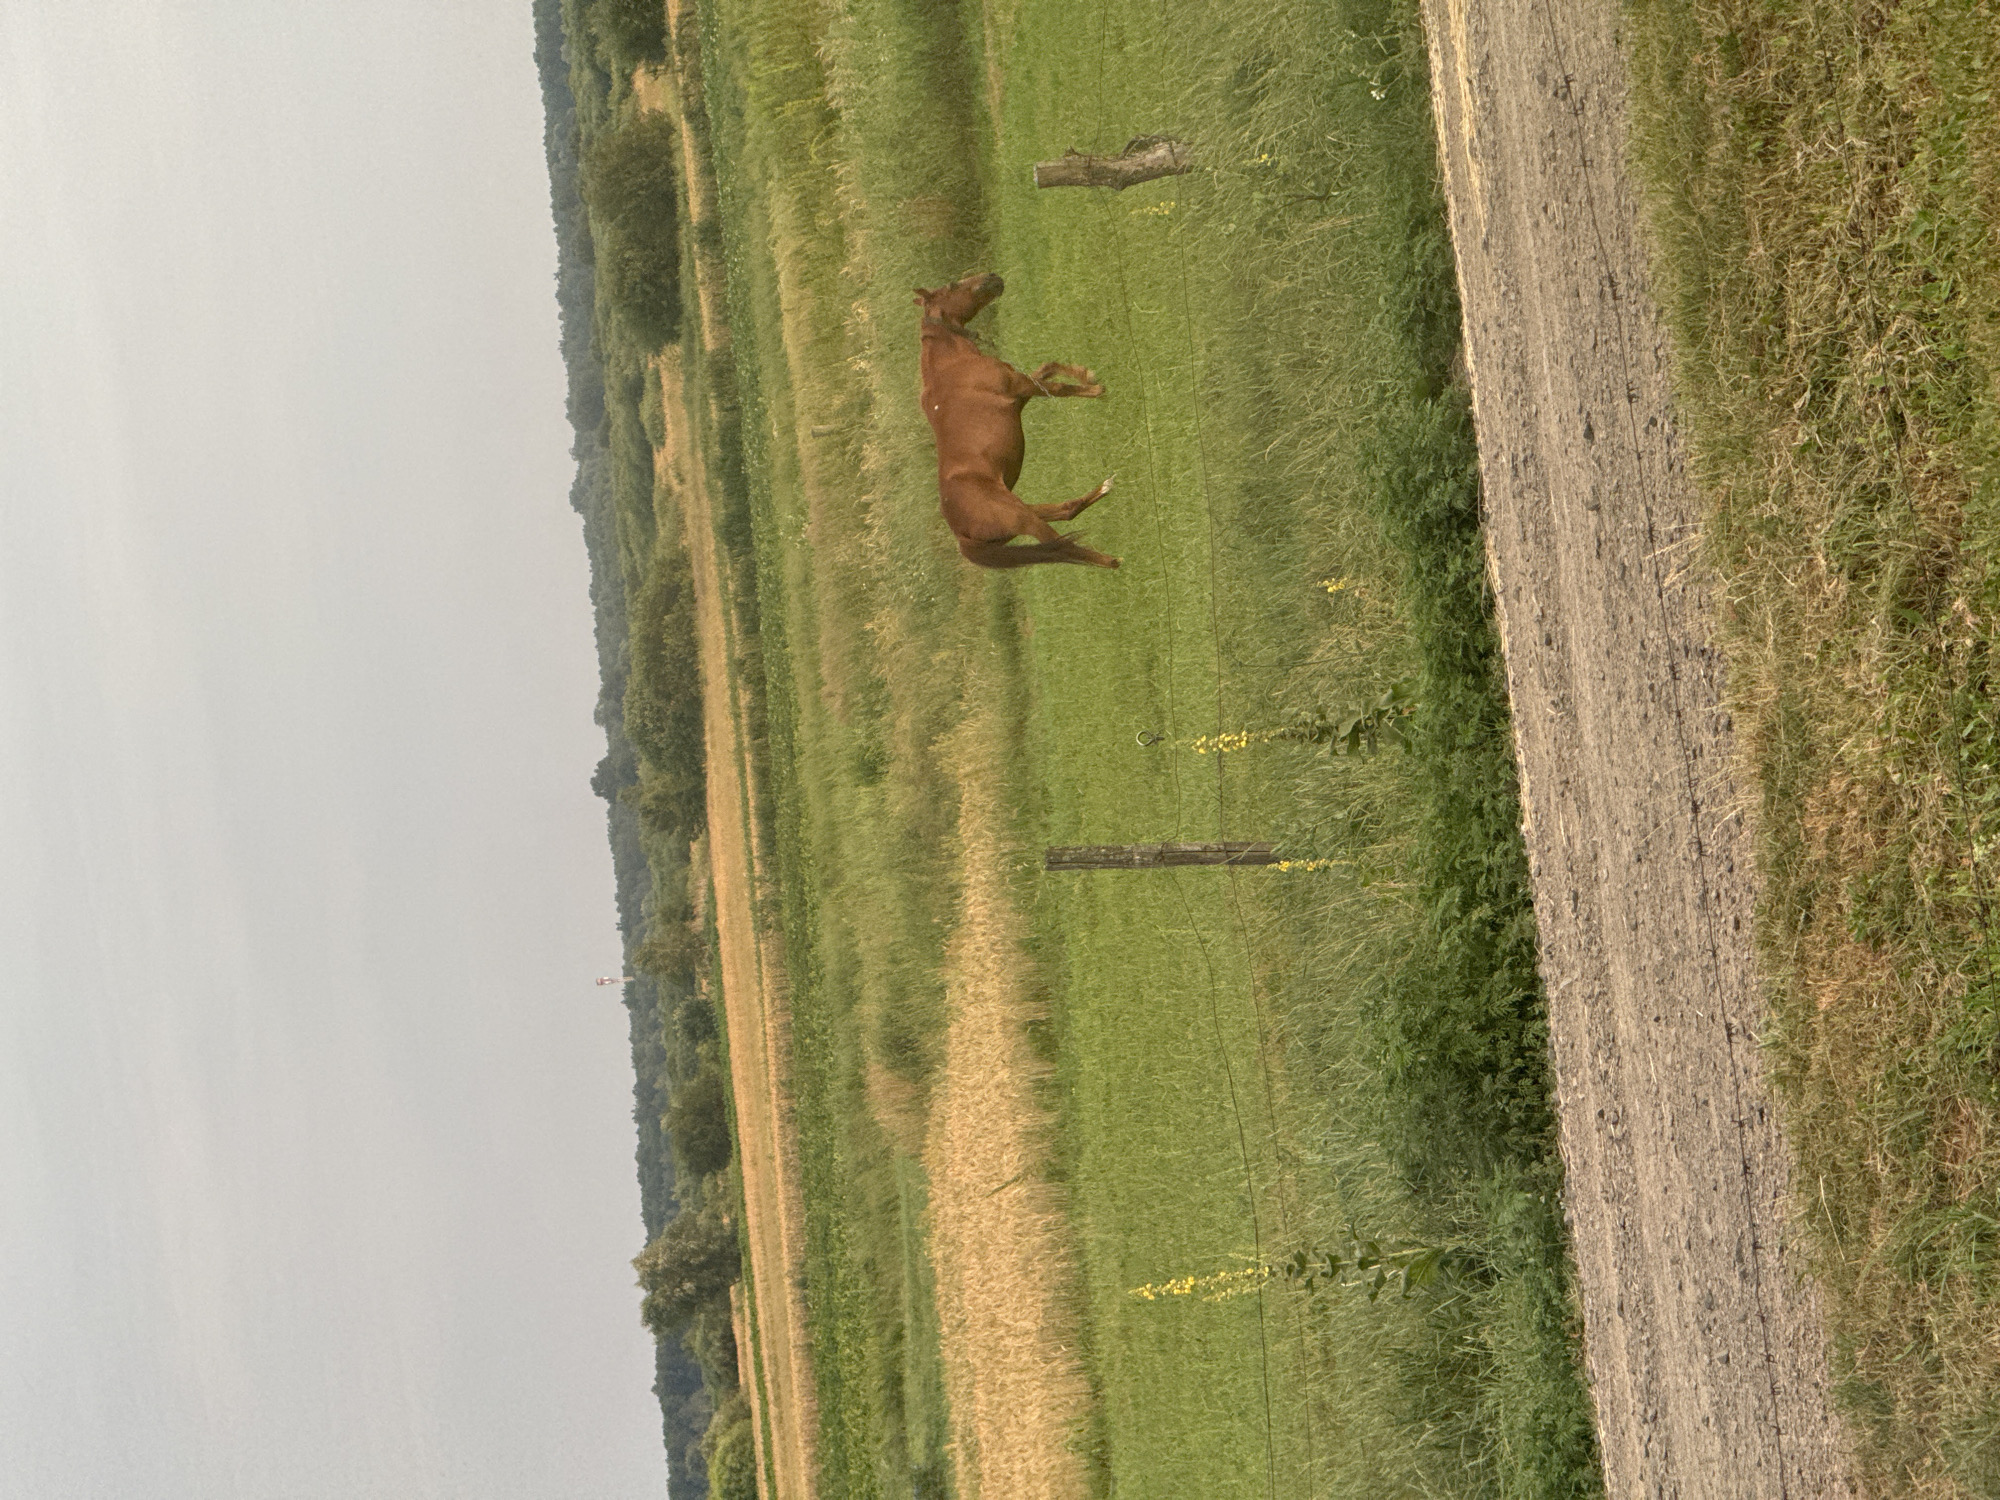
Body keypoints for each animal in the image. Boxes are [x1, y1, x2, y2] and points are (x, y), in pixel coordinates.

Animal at [914, 273, 1119, 570]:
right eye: (953, 286)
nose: (993, 277)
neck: (951, 366)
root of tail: (962, 539)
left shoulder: (1021, 393)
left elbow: (1049, 367)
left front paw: (1086, 374)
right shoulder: (1019, 387)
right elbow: (1058, 387)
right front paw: (1094, 389)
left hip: (1024, 510)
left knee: (1066, 511)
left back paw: (1104, 488)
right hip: (1024, 519)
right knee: (1064, 547)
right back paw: (1113, 561)